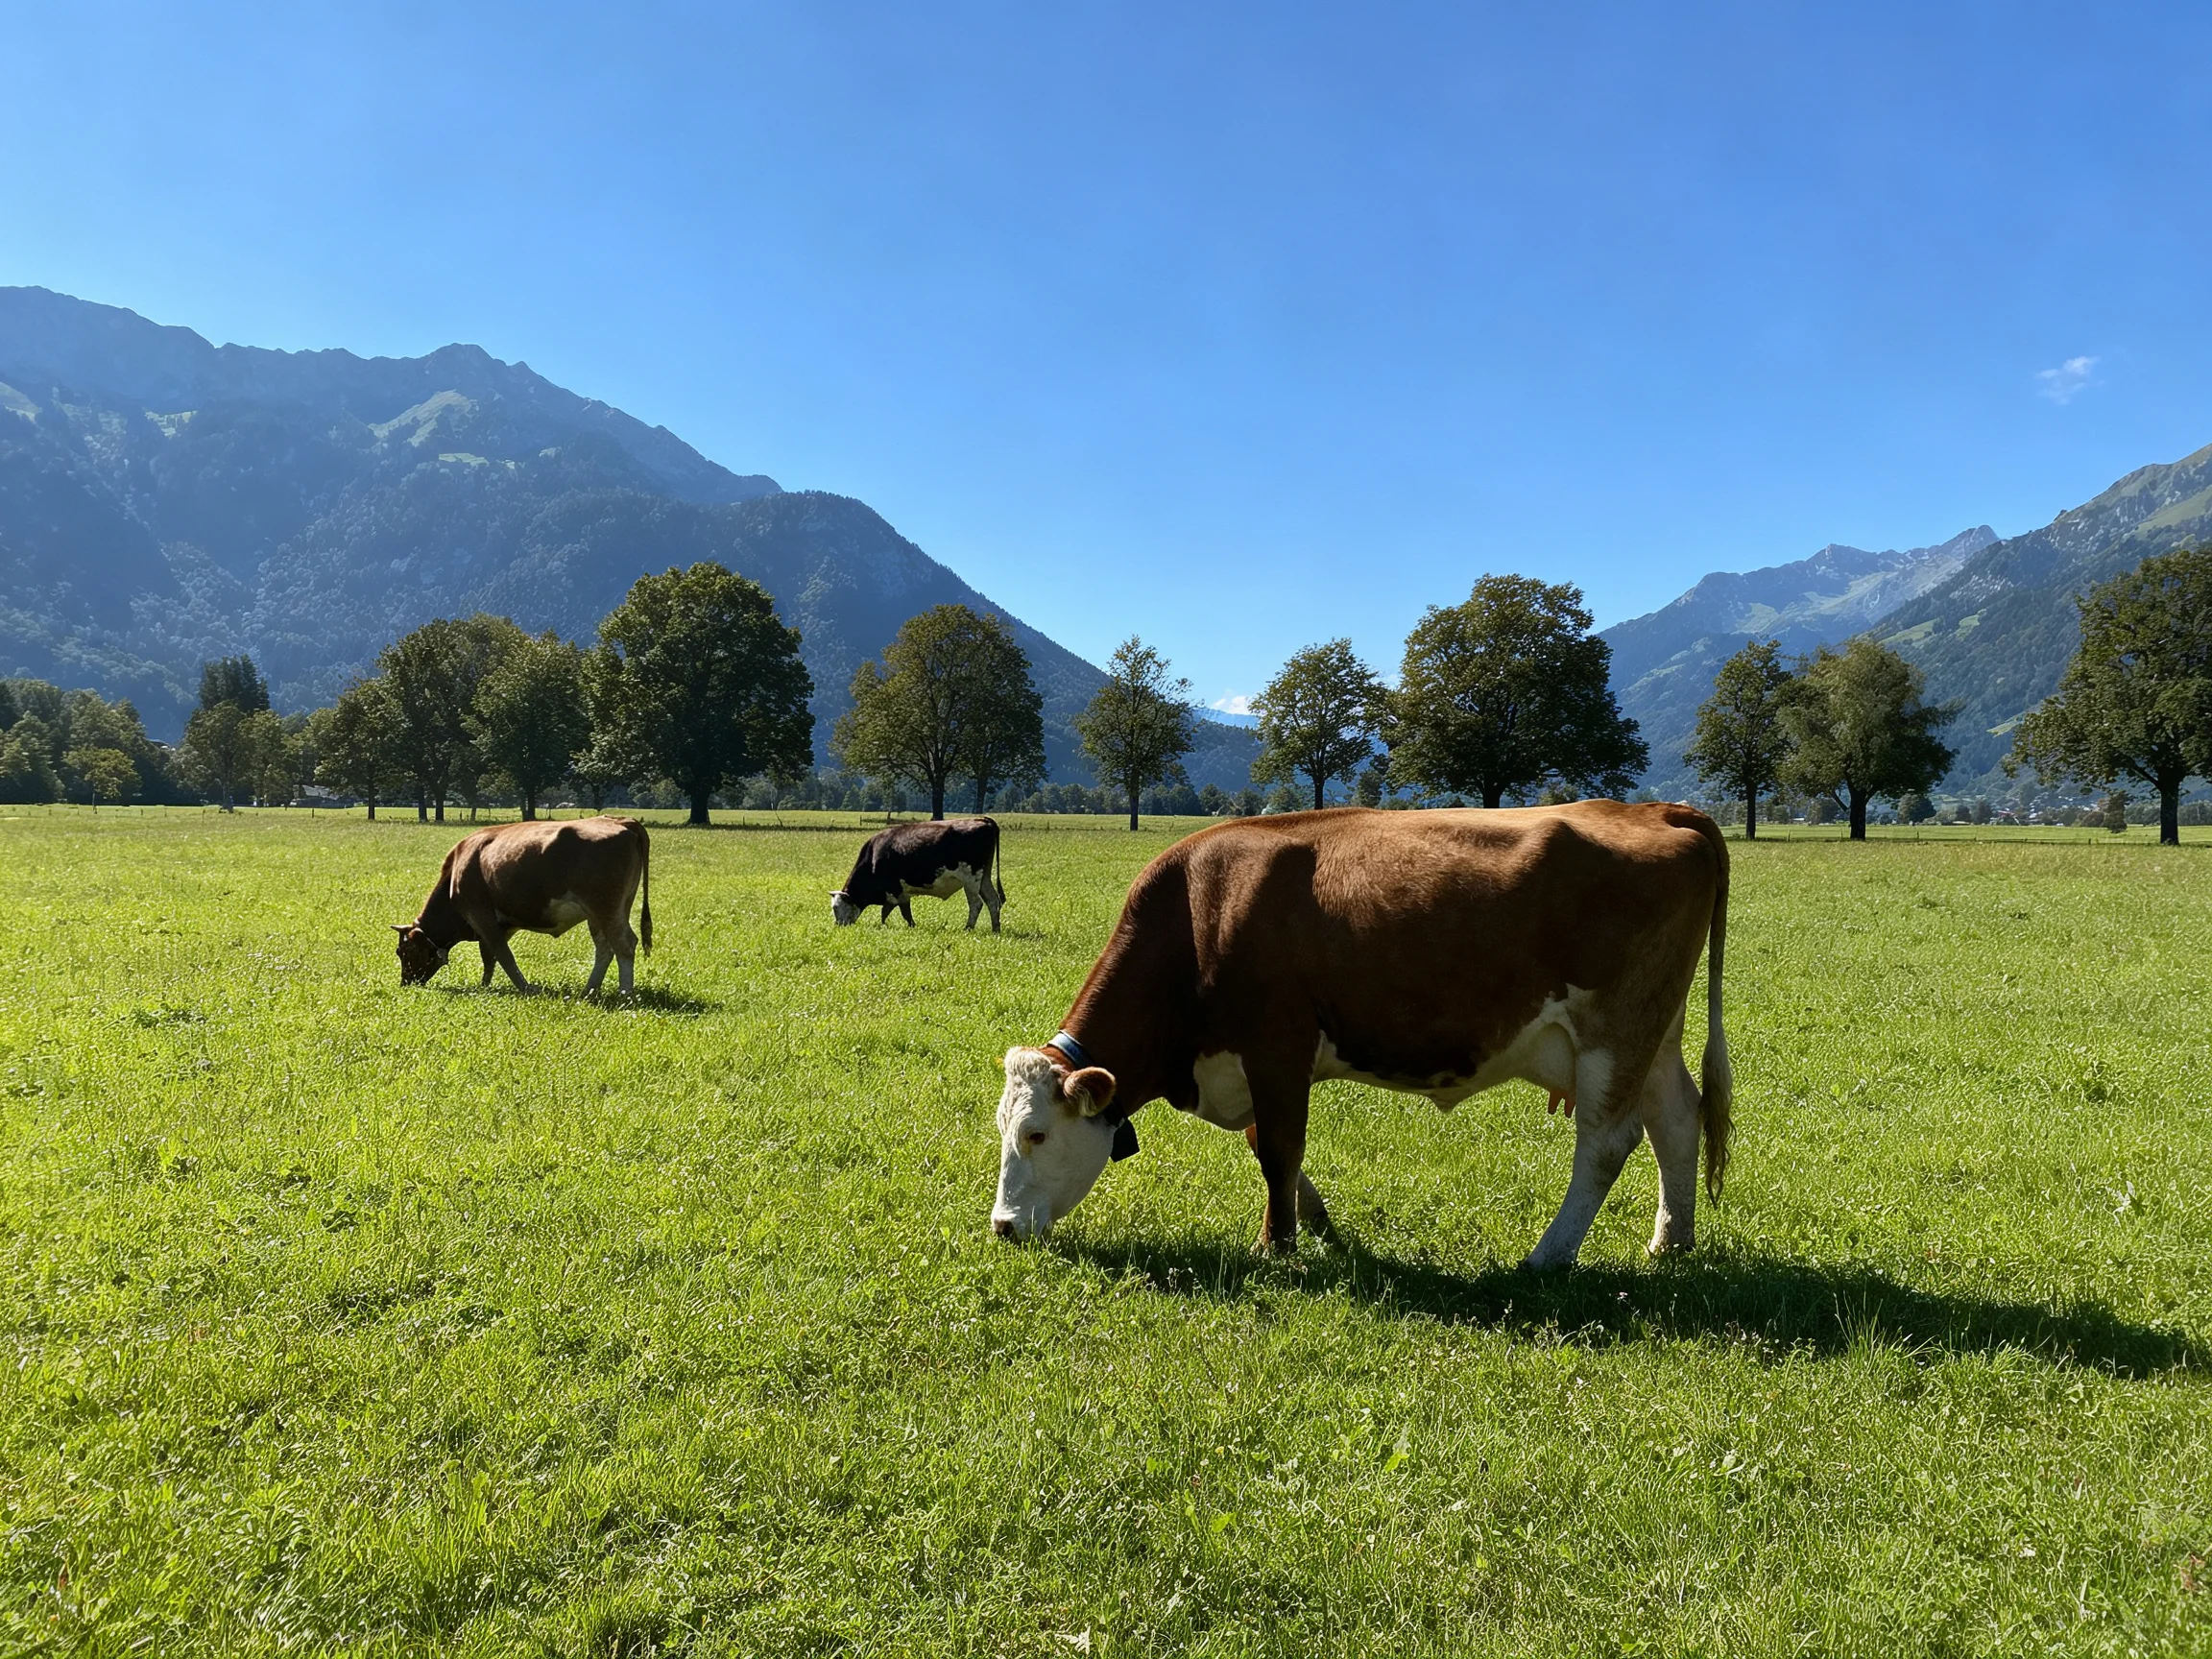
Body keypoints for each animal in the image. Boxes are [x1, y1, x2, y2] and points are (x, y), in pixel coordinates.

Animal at [393, 815, 652, 993]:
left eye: (405, 950)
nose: (406, 982)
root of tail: (621, 820)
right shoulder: (502, 924)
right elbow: (490, 957)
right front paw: (485, 986)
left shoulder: (480, 915)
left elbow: (502, 955)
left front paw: (526, 988)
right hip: (604, 911)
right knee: (605, 947)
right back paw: (589, 990)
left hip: (605, 907)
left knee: (624, 944)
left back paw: (625, 993)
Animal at [831, 817, 1005, 931]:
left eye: (835, 907)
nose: (838, 926)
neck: (874, 857)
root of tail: (983, 820)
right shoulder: (896, 893)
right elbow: (886, 912)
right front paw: (885, 925)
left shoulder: (897, 890)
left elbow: (904, 912)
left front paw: (911, 926)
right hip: (984, 878)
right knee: (992, 900)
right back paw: (995, 928)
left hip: (970, 879)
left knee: (976, 903)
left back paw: (968, 928)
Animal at [989, 802, 1732, 1269]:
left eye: (1037, 1134)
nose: (1002, 1227)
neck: (1202, 915)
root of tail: (1660, 809)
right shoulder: (1252, 1065)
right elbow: (1267, 1143)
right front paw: (1313, 1222)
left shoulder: (1277, 1046)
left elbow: (1278, 1149)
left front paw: (1276, 1245)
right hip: (1655, 1030)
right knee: (1676, 1119)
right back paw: (1672, 1241)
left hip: (1615, 1031)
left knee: (1607, 1143)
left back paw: (1548, 1256)